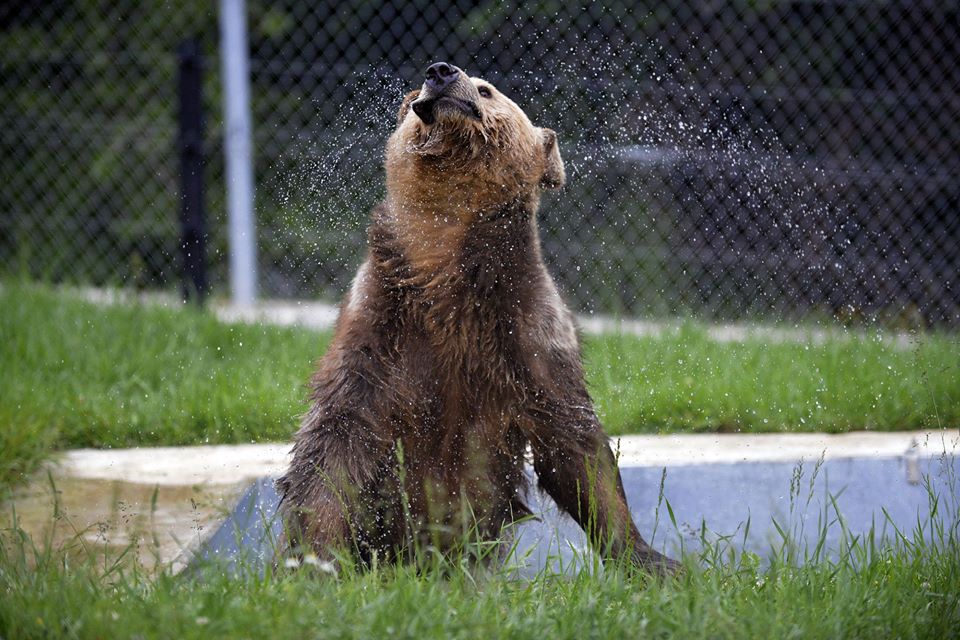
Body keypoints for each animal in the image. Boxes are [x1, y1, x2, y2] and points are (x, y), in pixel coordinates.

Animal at [278, 62, 680, 576]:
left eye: (487, 89)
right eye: (418, 86)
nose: (441, 72)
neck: (443, 261)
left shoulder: (524, 328)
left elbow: (575, 443)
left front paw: (651, 559)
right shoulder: (380, 328)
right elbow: (334, 445)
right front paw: (314, 559)